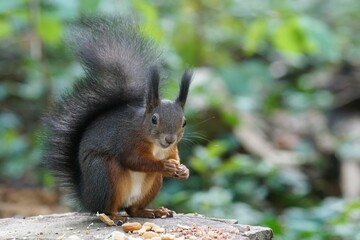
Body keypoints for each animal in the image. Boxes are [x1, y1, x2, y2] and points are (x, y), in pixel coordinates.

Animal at [42, 15, 193, 221]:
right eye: (154, 119)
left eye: (184, 122)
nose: (169, 139)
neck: (155, 145)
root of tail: (86, 197)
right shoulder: (127, 140)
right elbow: (134, 160)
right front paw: (164, 165)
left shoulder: (171, 150)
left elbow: (174, 157)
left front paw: (183, 170)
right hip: (105, 174)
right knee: (105, 209)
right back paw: (114, 217)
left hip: (152, 183)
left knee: (133, 209)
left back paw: (152, 211)